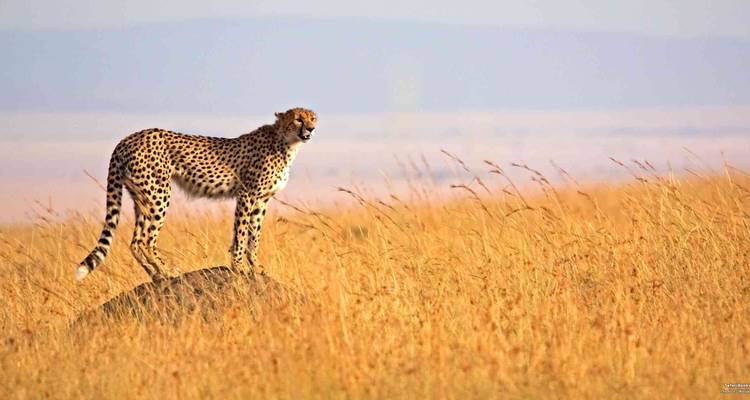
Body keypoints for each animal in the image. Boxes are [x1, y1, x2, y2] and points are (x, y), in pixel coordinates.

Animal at [75, 107, 317, 282]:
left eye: (313, 118)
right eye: (298, 119)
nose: (312, 129)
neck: (285, 143)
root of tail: (128, 138)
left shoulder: (261, 201)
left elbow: (253, 236)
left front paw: (255, 266)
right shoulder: (247, 195)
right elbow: (241, 234)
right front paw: (238, 266)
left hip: (142, 196)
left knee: (135, 241)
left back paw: (156, 275)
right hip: (159, 194)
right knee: (146, 240)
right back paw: (168, 271)